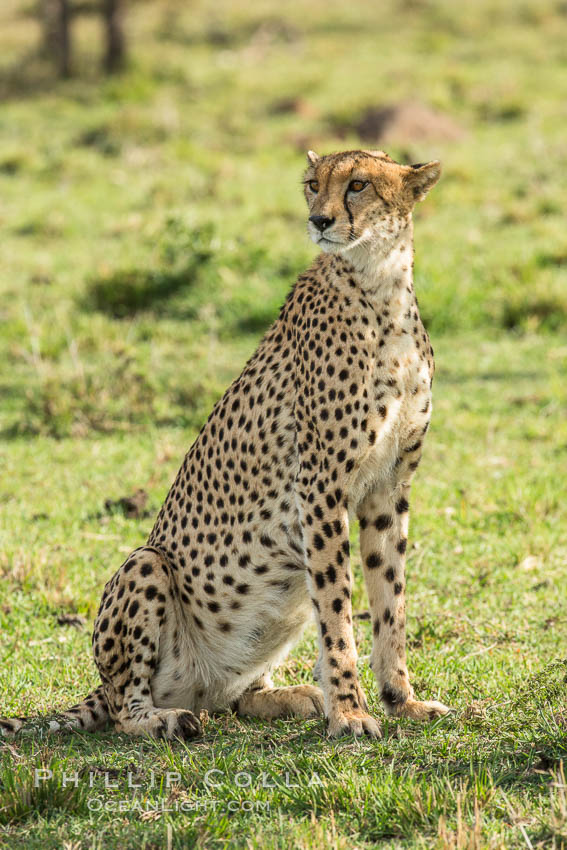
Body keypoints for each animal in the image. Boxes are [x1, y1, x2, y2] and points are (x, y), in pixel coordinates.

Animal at [2, 149, 450, 740]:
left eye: (358, 185)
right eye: (313, 184)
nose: (320, 220)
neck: (380, 286)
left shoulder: (387, 486)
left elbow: (389, 601)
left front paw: (401, 702)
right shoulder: (320, 486)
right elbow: (337, 608)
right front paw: (351, 713)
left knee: (238, 697)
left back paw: (291, 696)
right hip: (146, 564)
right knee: (123, 710)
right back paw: (168, 721)